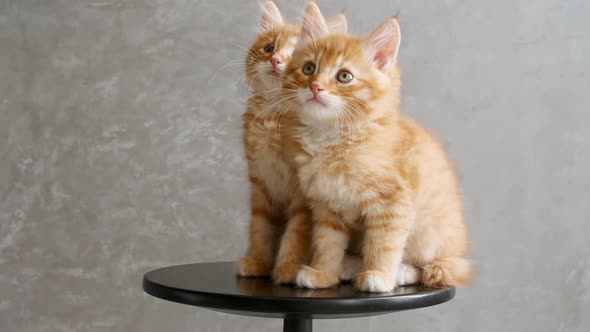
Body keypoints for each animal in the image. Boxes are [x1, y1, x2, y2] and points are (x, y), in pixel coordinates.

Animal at [280, 3, 472, 294]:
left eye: (344, 76)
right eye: (309, 68)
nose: (315, 87)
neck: (333, 138)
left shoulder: (393, 204)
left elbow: (383, 244)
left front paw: (379, 276)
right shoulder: (326, 206)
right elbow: (327, 244)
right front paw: (324, 274)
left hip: (431, 237)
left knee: (434, 266)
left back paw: (400, 271)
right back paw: (350, 266)